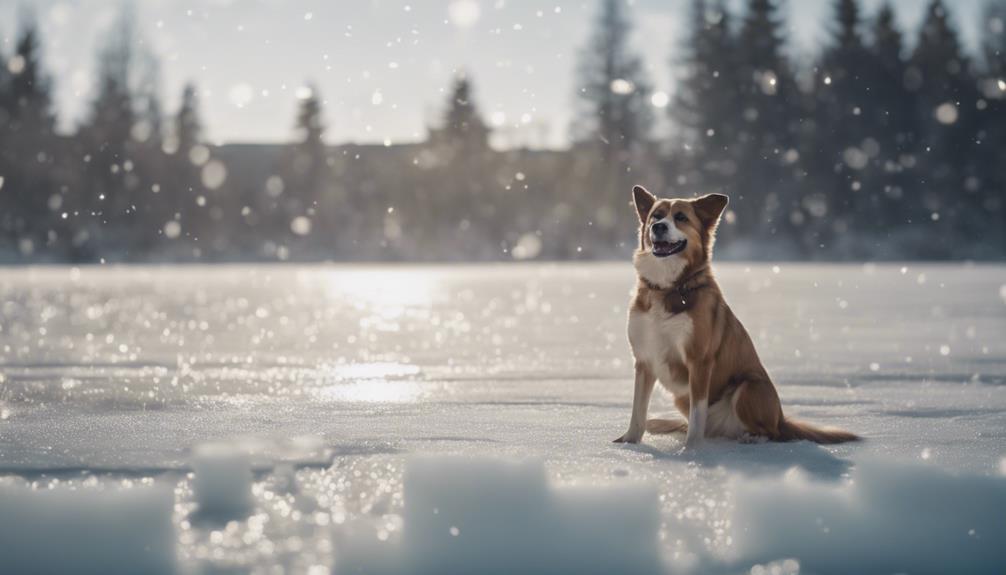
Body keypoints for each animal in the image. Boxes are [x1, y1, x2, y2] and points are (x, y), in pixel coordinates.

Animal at [611, 185, 857, 446]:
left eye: (680, 217)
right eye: (655, 216)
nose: (658, 227)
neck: (668, 287)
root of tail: (781, 419)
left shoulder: (699, 361)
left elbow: (697, 415)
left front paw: (691, 449)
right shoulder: (644, 360)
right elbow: (638, 411)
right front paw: (629, 443)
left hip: (748, 387)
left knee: (770, 432)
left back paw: (751, 439)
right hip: (684, 398)